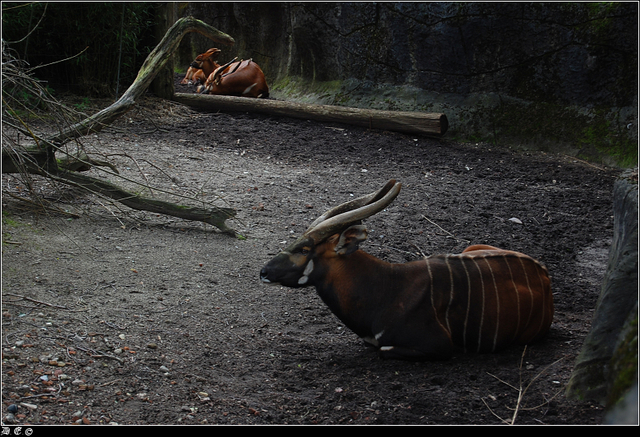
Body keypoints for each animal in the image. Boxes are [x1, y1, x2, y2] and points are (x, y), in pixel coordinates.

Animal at [262, 179, 556, 360]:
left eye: (304, 250)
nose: (264, 271)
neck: (387, 288)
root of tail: (543, 273)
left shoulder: (440, 346)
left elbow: (383, 349)